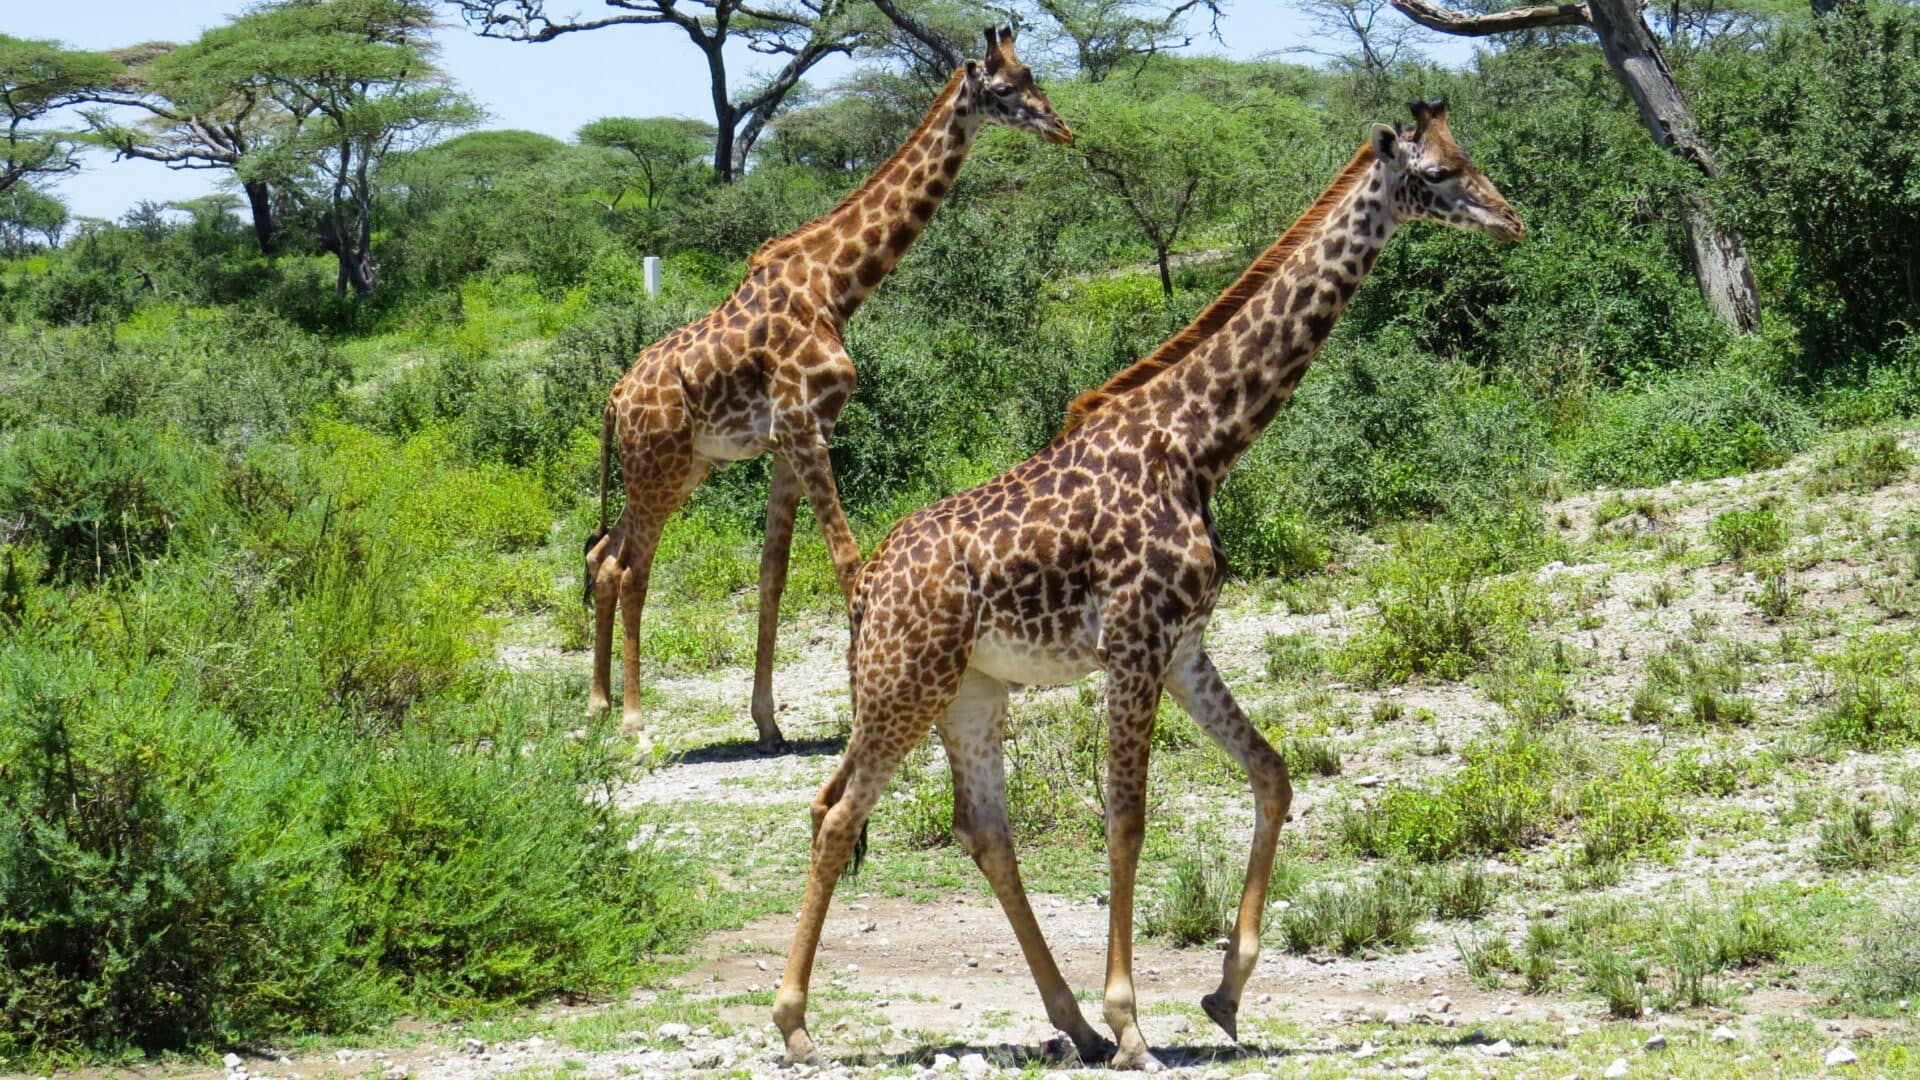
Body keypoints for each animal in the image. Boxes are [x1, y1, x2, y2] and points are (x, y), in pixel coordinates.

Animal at [584, 28, 1072, 752]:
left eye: (1034, 74)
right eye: (1008, 88)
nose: (1062, 127)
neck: (836, 288)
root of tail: (615, 399)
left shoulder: (793, 440)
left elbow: (774, 575)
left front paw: (767, 722)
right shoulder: (803, 428)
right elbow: (847, 561)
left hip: (681, 467)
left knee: (601, 554)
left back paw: (595, 707)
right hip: (660, 464)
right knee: (628, 568)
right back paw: (635, 721)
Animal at [773, 100, 1525, 1069]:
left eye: (1470, 160)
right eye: (1436, 175)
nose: (1511, 220)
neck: (1201, 443)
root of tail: (867, 591)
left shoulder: (1183, 644)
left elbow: (1273, 774)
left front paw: (1224, 994)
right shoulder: (1134, 646)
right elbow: (1126, 819)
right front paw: (1136, 1023)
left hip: (971, 691)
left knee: (983, 831)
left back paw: (1073, 1024)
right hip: (907, 683)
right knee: (837, 815)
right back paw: (797, 1024)